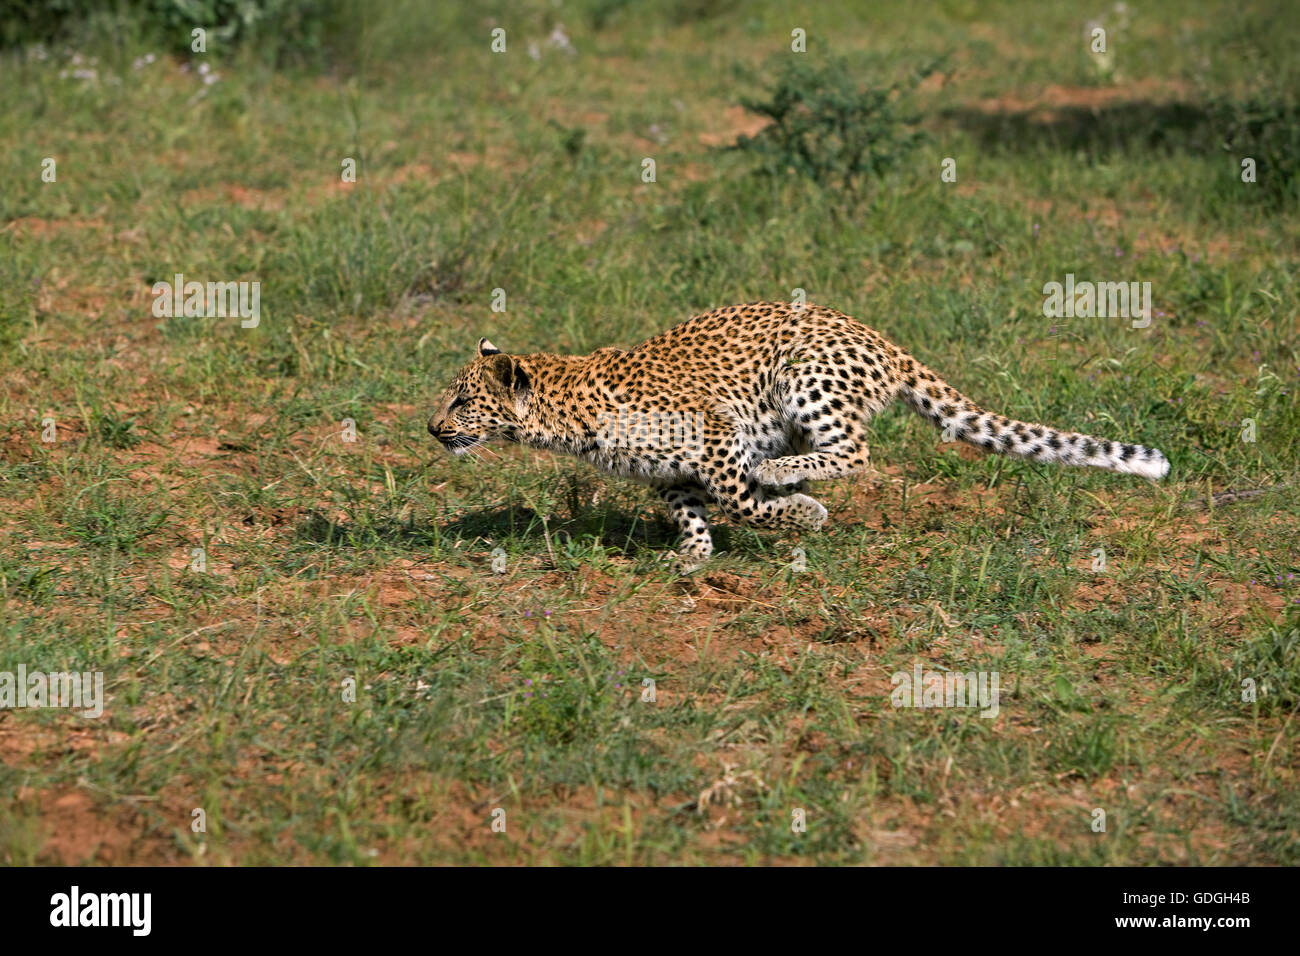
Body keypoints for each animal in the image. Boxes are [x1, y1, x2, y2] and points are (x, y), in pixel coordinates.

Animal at [426, 300, 1170, 567]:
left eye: (462, 400)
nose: (432, 429)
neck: (565, 413)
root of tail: (880, 338)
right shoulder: (671, 474)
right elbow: (695, 512)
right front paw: (692, 558)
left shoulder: (714, 434)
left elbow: (741, 499)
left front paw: (801, 515)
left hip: (806, 378)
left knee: (857, 452)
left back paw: (791, 478)